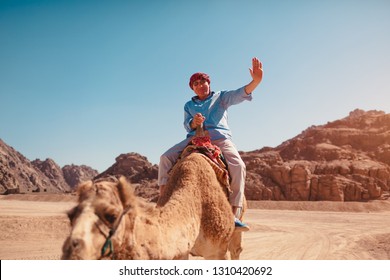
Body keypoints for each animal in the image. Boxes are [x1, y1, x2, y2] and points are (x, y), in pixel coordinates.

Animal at [61, 152, 244, 260]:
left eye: (112, 216)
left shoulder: (218, 251)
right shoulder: (181, 251)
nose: (71, 252)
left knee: (237, 250)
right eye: (70, 216)